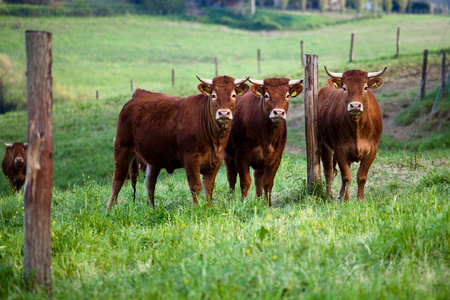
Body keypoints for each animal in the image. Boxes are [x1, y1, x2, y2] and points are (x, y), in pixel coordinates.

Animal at [107, 76, 251, 210]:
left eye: (233, 95)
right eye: (214, 95)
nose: (224, 113)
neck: (215, 139)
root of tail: (139, 94)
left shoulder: (216, 160)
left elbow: (209, 186)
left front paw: (209, 207)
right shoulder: (191, 158)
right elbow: (196, 186)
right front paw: (196, 208)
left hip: (153, 157)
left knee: (150, 182)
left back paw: (151, 208)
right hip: (122, 147)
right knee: (118, 180)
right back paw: (109, 209)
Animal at [224, 77, 302, 206]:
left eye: (287, 95)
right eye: (266, 95)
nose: (278, 112)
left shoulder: (276, 158)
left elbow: (267, 183)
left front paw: (268, 205)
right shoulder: (240, 156)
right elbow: (245, 182)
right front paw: (244, 203)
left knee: (258, 178)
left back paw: (259, 199)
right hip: (228, 155)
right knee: (231, 177)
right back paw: (231, 200)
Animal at [316, 66, 386, 202]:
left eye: (365, 87)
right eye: (344, 88)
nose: (355, 105)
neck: (357, 128)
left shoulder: (372, 150)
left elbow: (361, 176)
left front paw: (360, 200)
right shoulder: (339, 149)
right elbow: (347, 176)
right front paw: (347, 200)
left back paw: (341, 194)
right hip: (323, 144)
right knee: (328, 170)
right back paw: (329, 195)